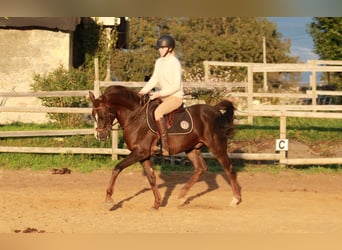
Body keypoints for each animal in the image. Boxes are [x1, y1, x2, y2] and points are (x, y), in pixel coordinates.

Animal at [89, 86, 242, 209]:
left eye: (103, 114)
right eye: (93, 115)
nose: (100, 136)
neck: (135, 118)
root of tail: (215, 110)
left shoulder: (139, 153)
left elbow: (117, 168)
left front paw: (109, 200)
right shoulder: (143, 156)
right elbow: (151, 178)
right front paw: (157, 202)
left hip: (217, 147)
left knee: (229, 168)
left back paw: (236, 199)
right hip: (192, 149)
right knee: (200, 169)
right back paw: (182, 197)